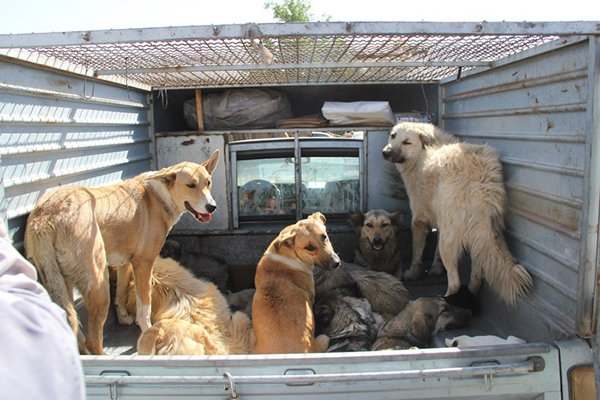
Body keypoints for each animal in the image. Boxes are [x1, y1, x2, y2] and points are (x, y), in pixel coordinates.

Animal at [24, 151, 220, 354]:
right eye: (190, 185)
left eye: (208, 183)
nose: (212, 207)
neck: (159, 196)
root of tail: (46, 216)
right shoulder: (143, 264)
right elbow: (144, 306)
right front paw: (148, 331)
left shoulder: (125, 262)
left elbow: (122, 292)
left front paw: (124, 317)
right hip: (99, 284)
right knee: (93, 338)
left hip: (62, 282)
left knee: (73, 324)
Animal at [382, 120, 532, 304]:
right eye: (393, 136)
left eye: (407, 142)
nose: (385, 152)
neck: (422, 155)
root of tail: (480, 181)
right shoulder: (441, 222)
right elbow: (435, 253)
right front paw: (435, 268)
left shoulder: (419, 220)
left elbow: (417, 251)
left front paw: (413, 272)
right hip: (479, 236)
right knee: (476, 276)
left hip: (451, 240)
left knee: (455, 283)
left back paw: (446, 301)